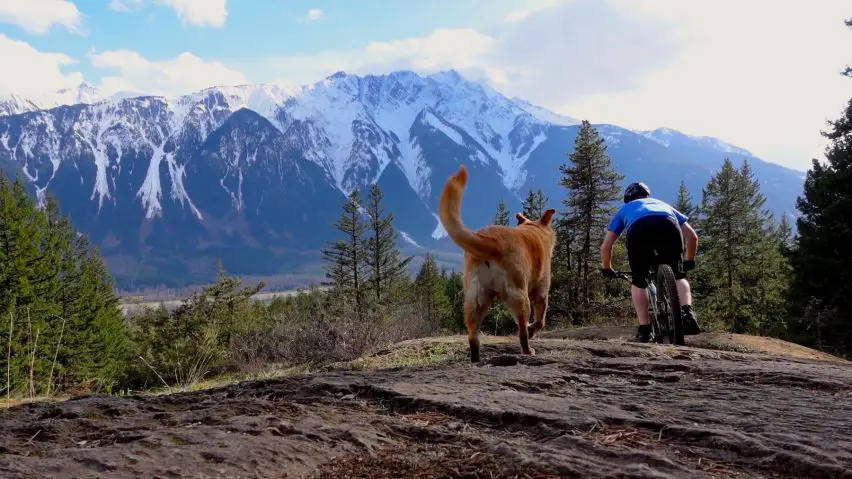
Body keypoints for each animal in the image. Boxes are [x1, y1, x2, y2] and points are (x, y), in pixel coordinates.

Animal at [440, 166, 560, 364]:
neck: (533, 229)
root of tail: (491, 242)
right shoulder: (541, 291)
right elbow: (540, 320)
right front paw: (533, 330)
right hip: (520, 297)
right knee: (521, 330)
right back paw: (527, 349)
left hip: (475, 299)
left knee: (473, 336)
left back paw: (476, 359)